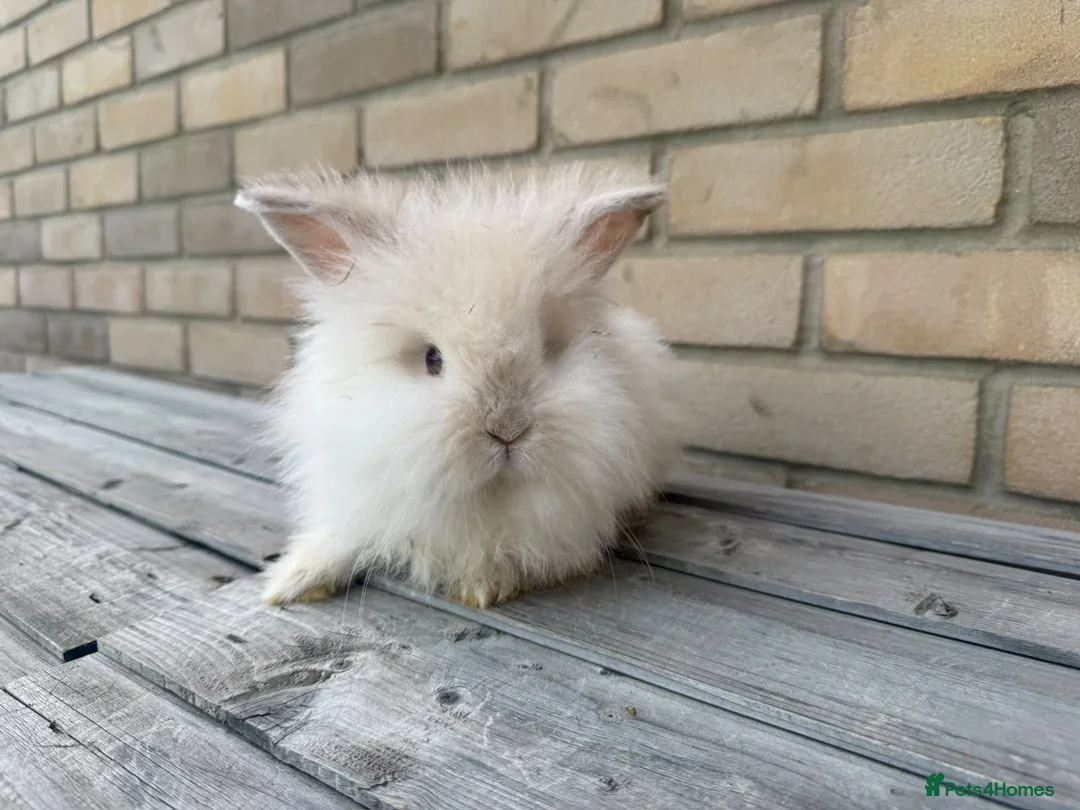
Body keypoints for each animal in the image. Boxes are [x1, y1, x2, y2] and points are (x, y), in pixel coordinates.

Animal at [234, 163, 683, 609]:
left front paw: (484, 584)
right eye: (432, 359)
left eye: (548, 349)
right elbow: (343, 536)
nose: (507, 431)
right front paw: (292, 582)